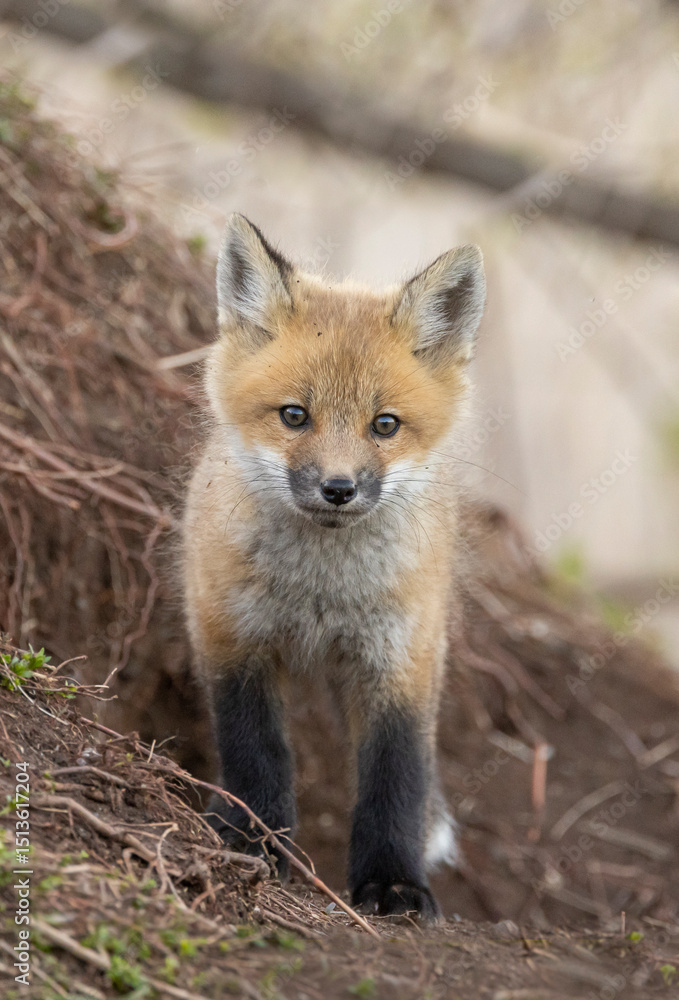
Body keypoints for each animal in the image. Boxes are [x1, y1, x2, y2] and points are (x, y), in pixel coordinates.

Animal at [182, 213, 486, 921]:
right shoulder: (232, 635)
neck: (323, 594)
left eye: (385, 425)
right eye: (295, 415)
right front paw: (255, 842)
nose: (339, 488)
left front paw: (394, 883)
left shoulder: (402, 656)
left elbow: (396, 778)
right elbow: (255, 752)